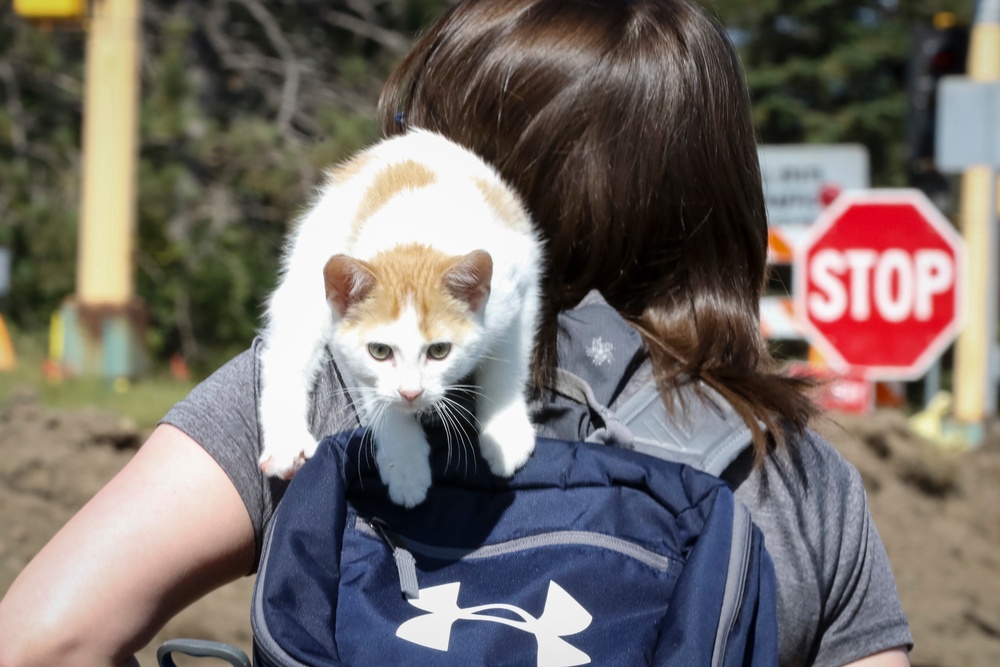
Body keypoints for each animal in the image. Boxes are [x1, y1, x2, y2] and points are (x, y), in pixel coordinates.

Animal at [256, 129, 540, 506]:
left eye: (439, 351)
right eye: (380, 351)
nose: (410, 393)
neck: (416, 235)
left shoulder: (521, 286)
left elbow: (508, 363)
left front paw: (505, 434)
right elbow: (376, 394)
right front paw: (405, 464)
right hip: (308, 274)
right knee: (287, 350)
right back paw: (286, 443)